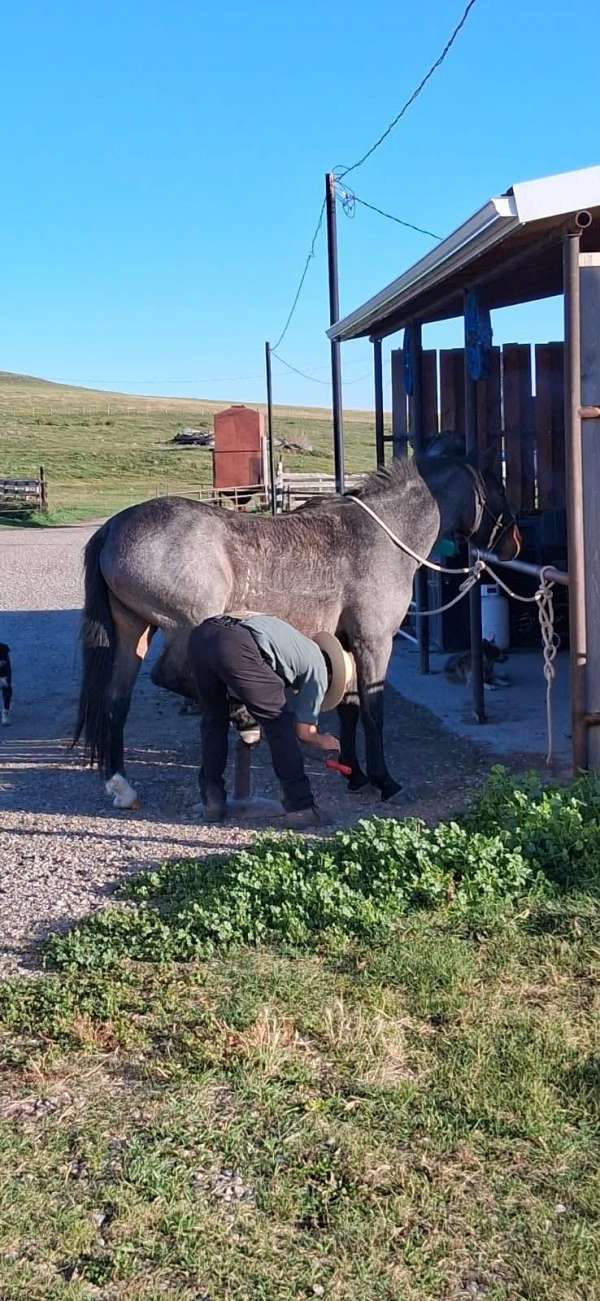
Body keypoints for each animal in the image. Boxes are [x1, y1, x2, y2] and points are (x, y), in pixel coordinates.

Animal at [74, 439, 520, 809]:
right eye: (498, 486)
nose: (514, 543)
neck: (381, 536)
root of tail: (114, 526)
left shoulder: (346, 641)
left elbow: (351, 709)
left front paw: (355, 774)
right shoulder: (375, 641)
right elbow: (373, 710)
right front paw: (384, 780)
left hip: (134, 630)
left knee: (116, 700)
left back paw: (121, 785)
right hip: (188, 625)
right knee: (170, 678)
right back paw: (242, 716)